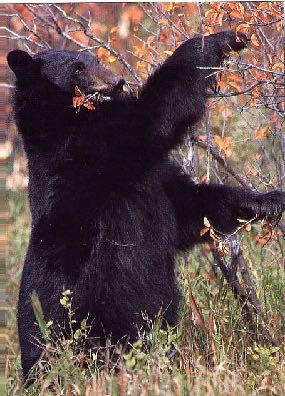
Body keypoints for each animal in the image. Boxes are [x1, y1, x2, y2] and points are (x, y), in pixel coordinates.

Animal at [6, 32, 284, 382]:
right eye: (77, 68)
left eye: (97, 59)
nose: (117, 82)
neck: (72, 121)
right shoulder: (91, 151)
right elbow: (152, 118)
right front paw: (217, 41)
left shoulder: (156, 177)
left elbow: (188, 207)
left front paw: (270, 200)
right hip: (76, 320)